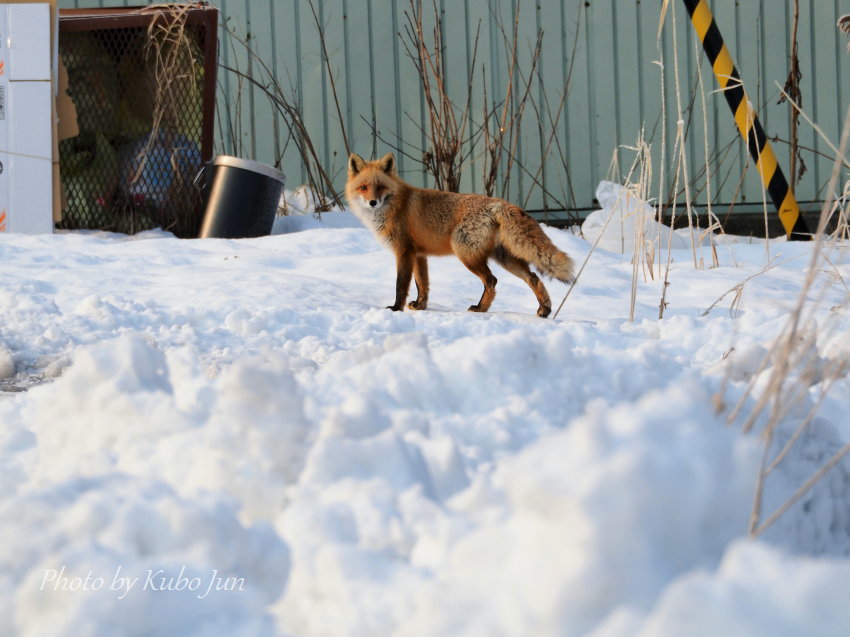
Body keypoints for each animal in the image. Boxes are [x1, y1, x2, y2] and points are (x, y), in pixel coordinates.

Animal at [346, 152, 576, 316]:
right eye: (364, 187)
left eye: (380, 187)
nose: (372, 202)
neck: (395, 205)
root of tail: (499, 203)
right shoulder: (418, 254)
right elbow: (423, 284)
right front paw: (420, 306)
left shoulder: (403, 251)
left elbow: (400, 285)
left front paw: (396, 309)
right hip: (504, 258)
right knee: (533, 277)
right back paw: (544, 310)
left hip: (466, 254)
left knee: (492, 280)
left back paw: (481, 309)